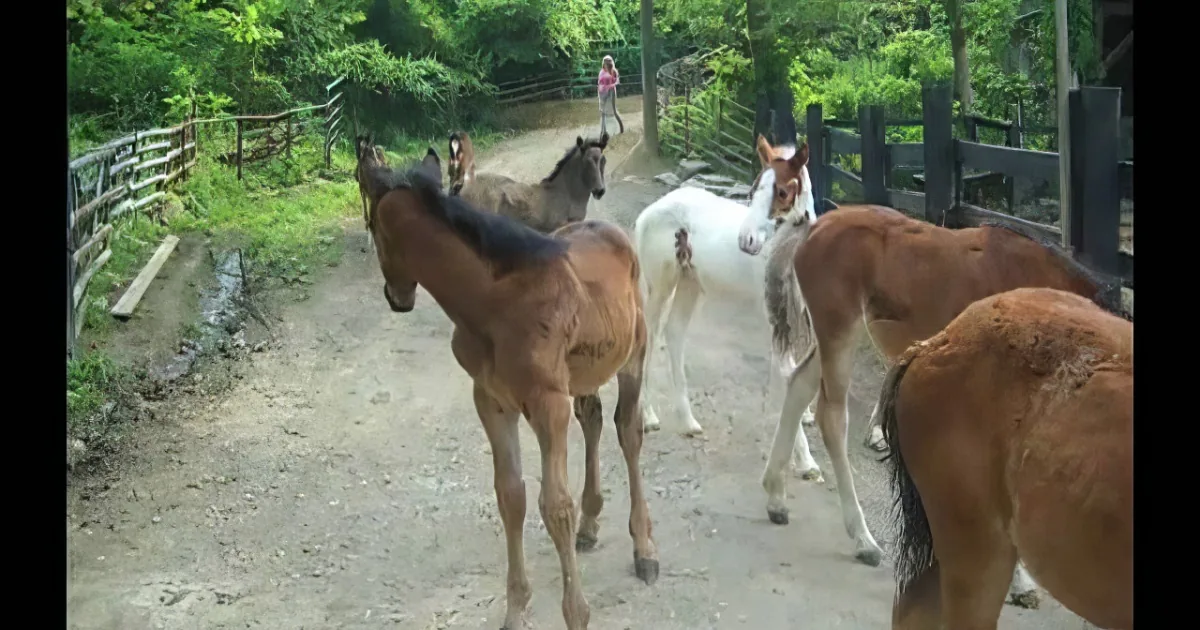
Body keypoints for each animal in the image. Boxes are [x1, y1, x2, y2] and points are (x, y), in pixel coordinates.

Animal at [632, 135, 818, 445]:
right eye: (753, 190)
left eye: (782, 192)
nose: (747, 241)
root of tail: (648, 212)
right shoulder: (774, 318)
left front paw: (804, 415)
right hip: (660, 286)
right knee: (651, 336)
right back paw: (648, 417)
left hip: (690, 283)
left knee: (674, 332)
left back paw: (688, 421)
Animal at [737, 148, 1123, 604]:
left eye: (781, 190)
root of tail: (812, 231)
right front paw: (1020, 581)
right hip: (839, 331)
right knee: (831, 417)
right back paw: (863, 539)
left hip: (835, 334)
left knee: (797, 386)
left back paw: (776, 498)